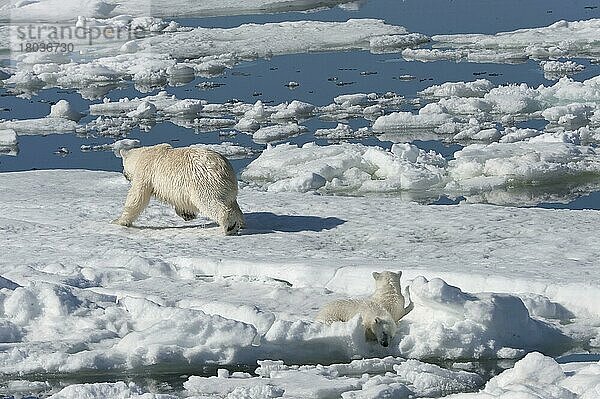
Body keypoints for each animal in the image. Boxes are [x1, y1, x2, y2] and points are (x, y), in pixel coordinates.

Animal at [112, 143, 244, 234]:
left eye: (122, 165)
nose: (124, 174)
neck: (142, 155)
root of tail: (225, 168)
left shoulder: (145, 172)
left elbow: (137, 197)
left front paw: (119, 221)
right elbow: (180, 200)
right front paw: (187, 214)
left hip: (205, 182)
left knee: (209, 202)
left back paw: (229, 226)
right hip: (227, 188)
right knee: (232, 203)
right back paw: (240, 223)